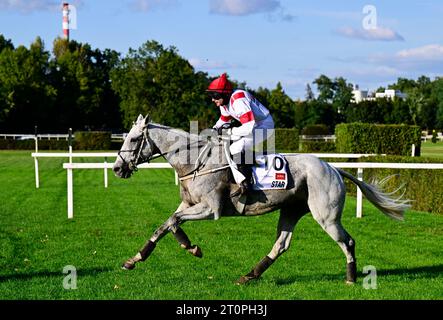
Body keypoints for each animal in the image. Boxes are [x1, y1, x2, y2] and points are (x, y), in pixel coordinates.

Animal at [112, 115, 412, 284]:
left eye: (135, 139)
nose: (117, 168)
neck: (196, 161)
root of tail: (334, 168)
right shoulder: (188, 205)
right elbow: (164, 225)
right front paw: (134, 259)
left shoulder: (211, 209)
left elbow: (174, 222)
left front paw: (191, 247)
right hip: (291, 210)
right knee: (281, 244)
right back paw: (250, 275)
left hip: (326, 216)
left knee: (347, 241)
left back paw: (350, 279)